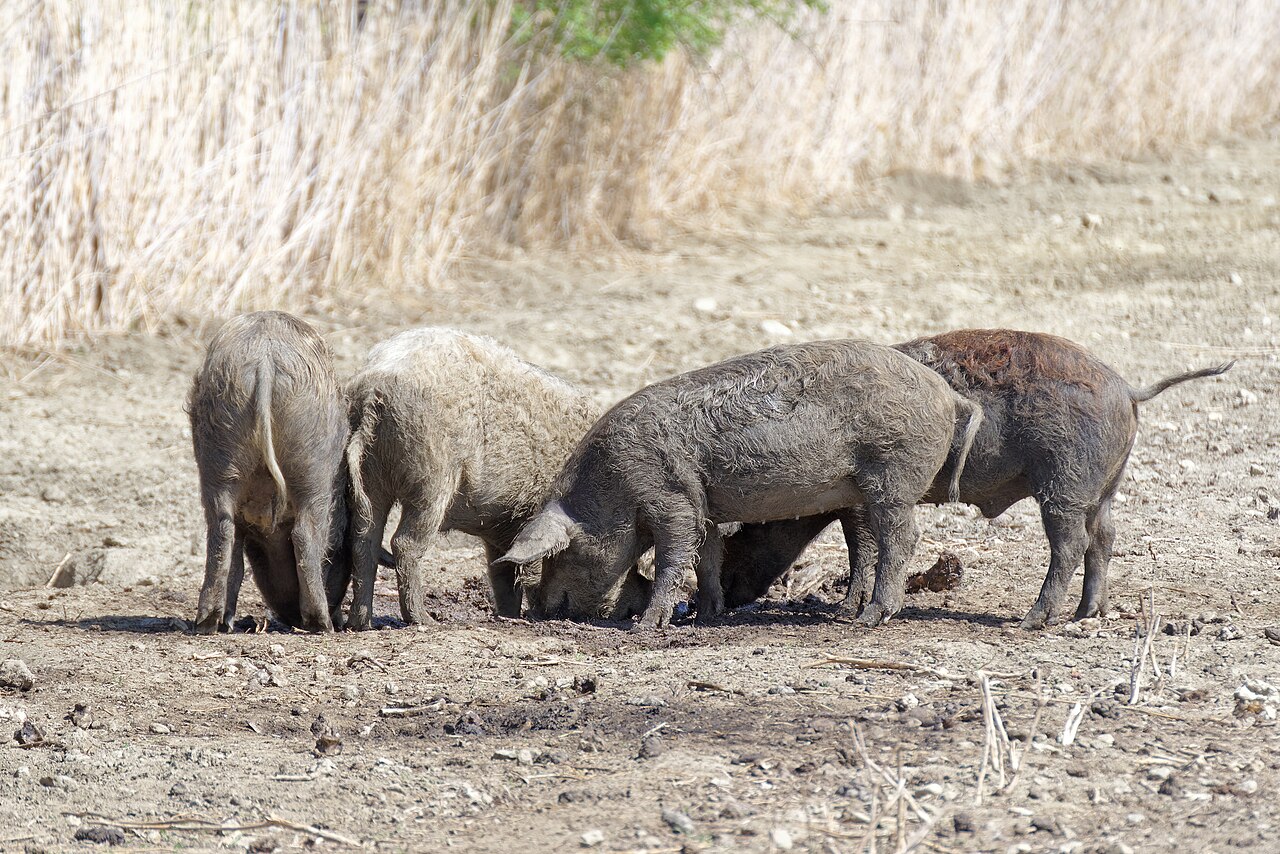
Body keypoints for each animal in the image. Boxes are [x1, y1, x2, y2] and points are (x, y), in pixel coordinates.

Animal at [188, 311, 350, 633]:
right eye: (339, 550)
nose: (288, 615)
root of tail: (264, 360)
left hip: (218, 459)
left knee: (221, 533)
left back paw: (210, 624)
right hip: (313, 466)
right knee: (305, 533)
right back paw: (321, 625)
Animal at [344, 328, 651, 629]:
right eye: (633, 564)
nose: (638, 606)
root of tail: (374, 388)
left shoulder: (501, 528)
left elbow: (502, 572)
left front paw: (508, 616)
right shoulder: (529, 515)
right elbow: (528, 570)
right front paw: (531, 615)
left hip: (372, 478)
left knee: (364, 540)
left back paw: (361, 623)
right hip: (432, 478)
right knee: (404, 544)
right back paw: (424, 620)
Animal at [498, 339, 984, 630]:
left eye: (564, 553)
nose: (537, 610)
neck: (611, 486)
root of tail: (948, 394)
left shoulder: (671, 498)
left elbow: (673, 556)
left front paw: (646, 626)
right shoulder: (706, 504)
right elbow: (706, 557)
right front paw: (704, 615)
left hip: (894, 475)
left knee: (903, 537)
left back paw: (871, 618)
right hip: (864, 489)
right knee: (866, 542)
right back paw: (845, 613)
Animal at [719, 329, 1233, 628]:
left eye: (743, 533)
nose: (723, 597)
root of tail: (1128, 388)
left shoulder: (860, 500)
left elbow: (861, 548)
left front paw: (848, 613)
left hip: (1064, 484)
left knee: (1071, 544)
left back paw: (1031, 621)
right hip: (1104, 488)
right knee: (1104, 537)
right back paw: (1086, 615)